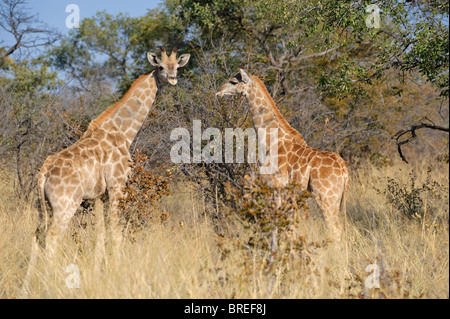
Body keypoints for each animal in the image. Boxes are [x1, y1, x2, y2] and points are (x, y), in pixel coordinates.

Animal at [32, 47, 191, 258]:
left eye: (177, 67)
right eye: (161, 67)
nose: (172, 78)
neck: (123, 132)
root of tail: (43, 173)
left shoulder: (99, 195)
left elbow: (100, 235)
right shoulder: (117, 185)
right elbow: (115, 234)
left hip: (44, 205)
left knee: (37, 235)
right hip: (66, 204)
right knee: (51, 238)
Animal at [216, 69, 350, 240]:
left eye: (233, 82)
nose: (218, 92)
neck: (271, 140)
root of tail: (345, 171)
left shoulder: (275, 187)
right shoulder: (290, 196)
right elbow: (291, 228)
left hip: (326, 197)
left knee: (335, 229)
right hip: (336, 199)